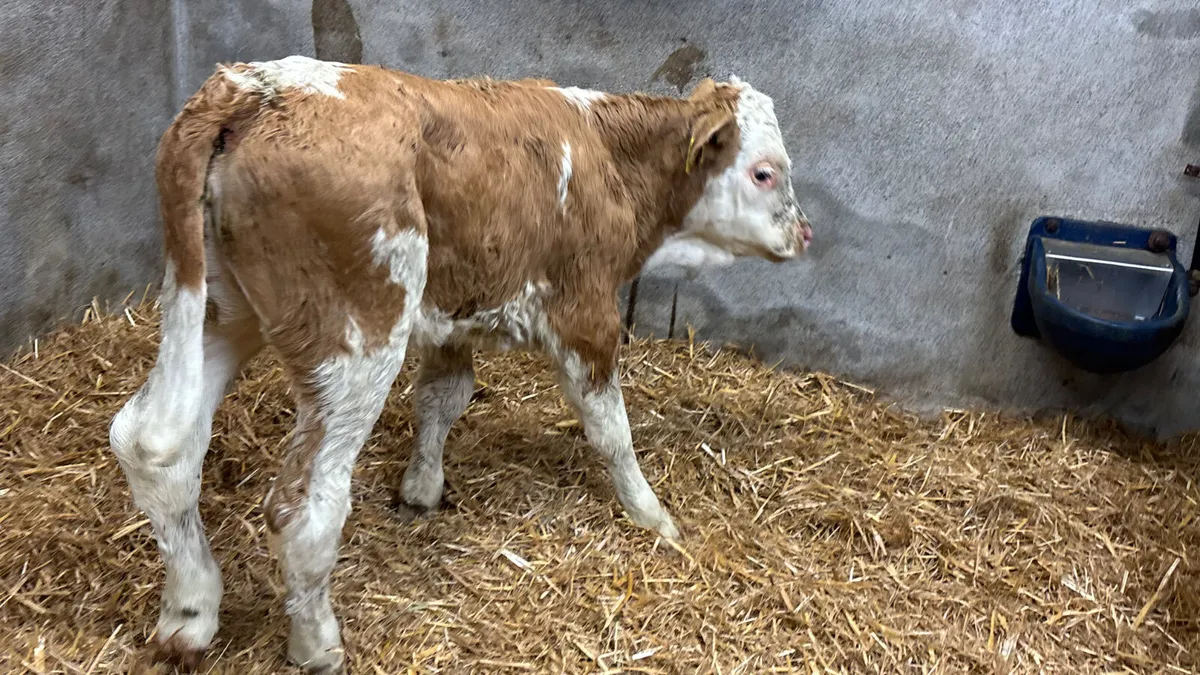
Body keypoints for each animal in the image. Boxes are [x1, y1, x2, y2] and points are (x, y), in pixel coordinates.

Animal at [108, 55, 813, 673]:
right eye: (764, 173)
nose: (804, 234)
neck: (607, 155)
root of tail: (253, 86)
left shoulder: (454, 313)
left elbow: (443, 397)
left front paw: (422, 488)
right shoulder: (585, 313)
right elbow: (611, 429)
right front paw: (652, 515)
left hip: (218, 308)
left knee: (154, 445)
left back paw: (190, 617)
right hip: (358, 339)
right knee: (302, 506)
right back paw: (316, 644)